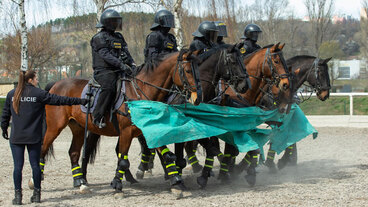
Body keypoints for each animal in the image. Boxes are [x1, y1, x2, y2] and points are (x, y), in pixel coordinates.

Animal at [38, 49, 200, 193]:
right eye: (187, 70)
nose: (196, 97)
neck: (139, 92)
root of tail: (56, 84)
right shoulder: (126, 132)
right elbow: (123, 160)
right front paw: (117, 185)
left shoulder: (149, 130)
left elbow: (166, 154)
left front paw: (177, 182)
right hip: (55, 127)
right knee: (44, 148)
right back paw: (37, 180)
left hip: (78, 128)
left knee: (74, 152)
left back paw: (80, 181)